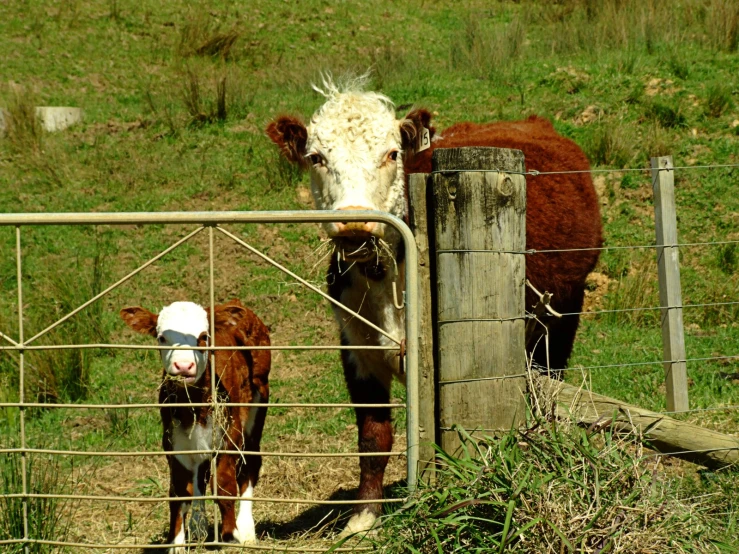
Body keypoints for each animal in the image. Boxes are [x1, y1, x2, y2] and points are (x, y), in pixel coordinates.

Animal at [120, 300, 274, 548]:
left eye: (204, 336)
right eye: (161, 337)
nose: (183, 365)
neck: (194, 407)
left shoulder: (229, 436)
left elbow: (223, 485)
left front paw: (231, 535)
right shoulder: (174, 444)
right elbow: (180, 491)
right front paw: (177, 543)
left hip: (257, 404)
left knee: (250, 462)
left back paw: (247, 529)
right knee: (201, 475)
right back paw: (198, 525)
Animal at [268, 75, 604, 532]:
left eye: (391, 154)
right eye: (316, 157)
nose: (355, 223)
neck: (386, 278)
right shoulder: (356, 348)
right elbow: (373, 436)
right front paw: (363, 517)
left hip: (563, 313)